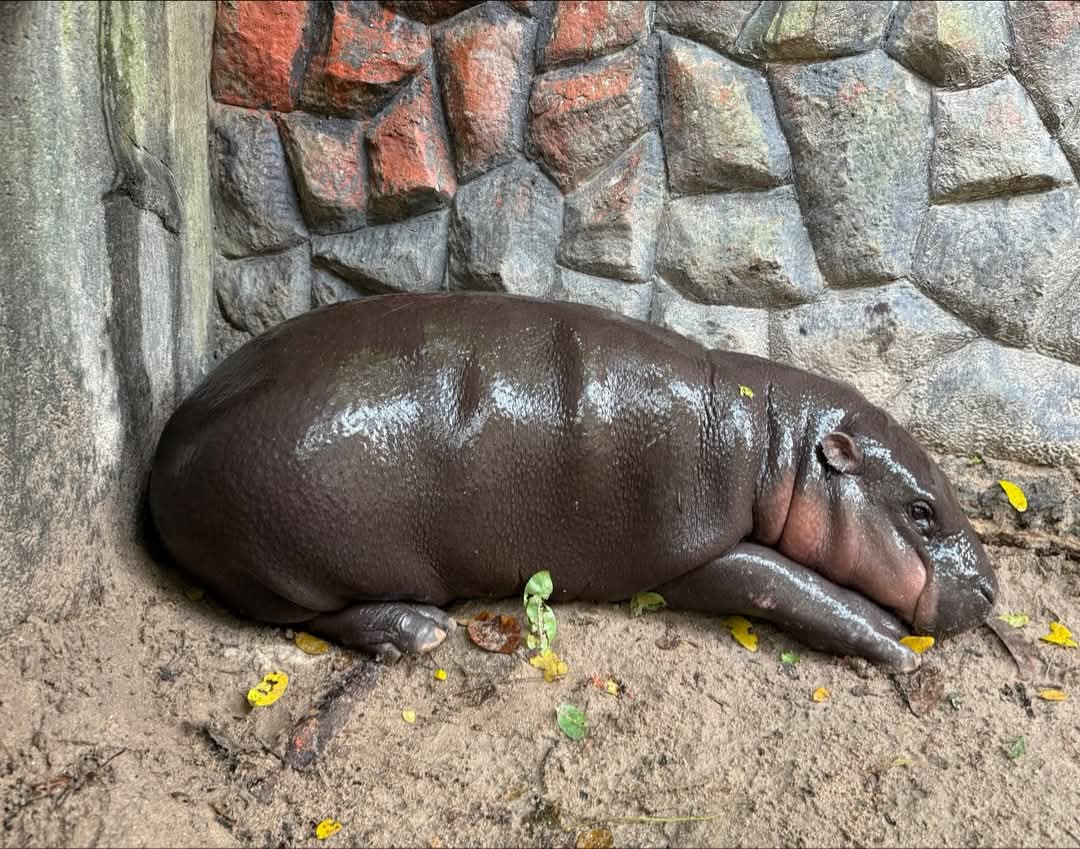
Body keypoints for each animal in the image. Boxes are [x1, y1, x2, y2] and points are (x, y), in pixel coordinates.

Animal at [149, 292, 996, 671]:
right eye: (922, 511)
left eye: (943, 490)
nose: (991, 589)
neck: (773, 444)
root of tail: (166, 455)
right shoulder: (698, 553)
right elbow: (782, 585)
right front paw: (891, 639)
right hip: (296, 559)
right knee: (304, 618)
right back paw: (418, 631)